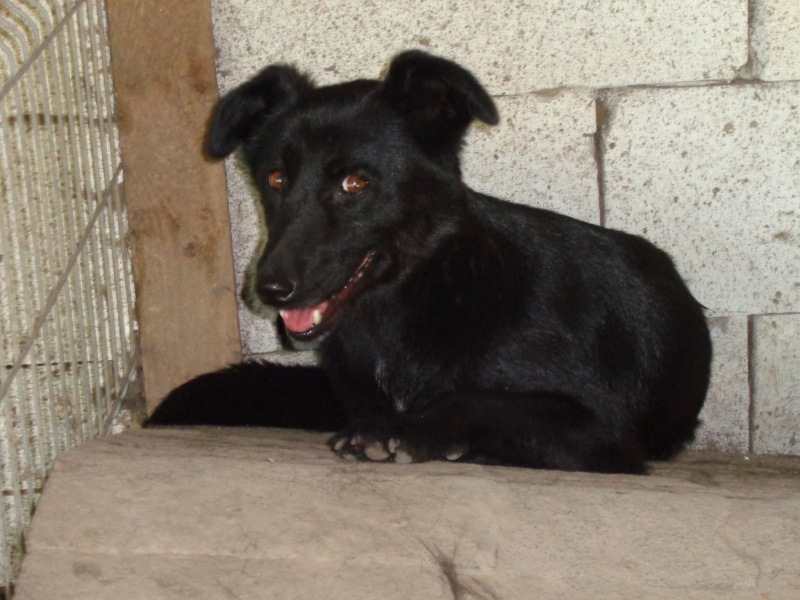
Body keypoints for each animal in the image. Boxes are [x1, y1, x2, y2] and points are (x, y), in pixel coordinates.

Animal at [150, 50, 712, 474]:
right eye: (275, 180)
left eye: (355, 183)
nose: (268, 291)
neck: (403, 314)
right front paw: (378, 428)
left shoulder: (602, 430)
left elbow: (480, 400)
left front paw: (423, 430)